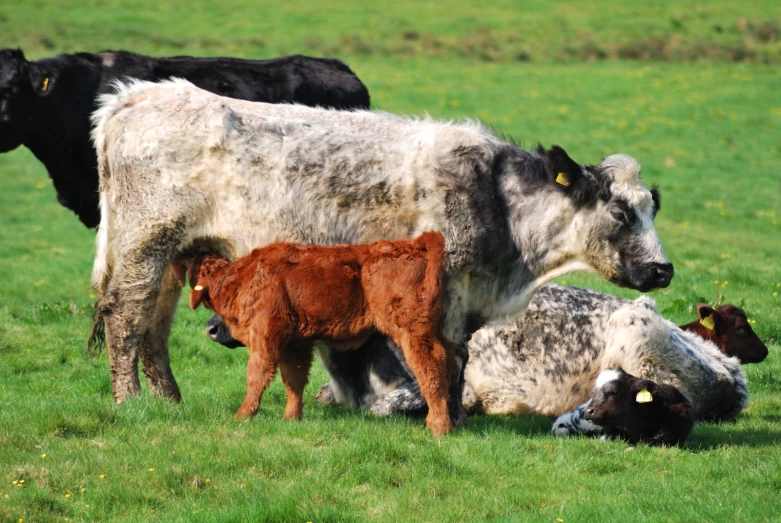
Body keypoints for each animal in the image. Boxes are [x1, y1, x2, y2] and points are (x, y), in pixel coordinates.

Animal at [186, 233, 450, 438]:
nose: (211, 328)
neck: (249, 277)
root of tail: (411, 245)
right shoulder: (296, 344)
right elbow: (294, 379)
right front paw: (291, 418)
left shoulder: (265, 340)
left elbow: (257, 376)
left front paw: (242, 416)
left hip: (412, 331)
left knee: (429, 366)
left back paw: (438, 427)